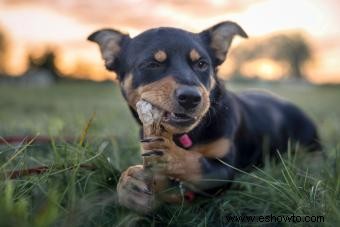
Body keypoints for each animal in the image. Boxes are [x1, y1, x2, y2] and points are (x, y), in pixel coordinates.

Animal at [88, 21, 322, 213]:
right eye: (153, 64)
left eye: (201, 64)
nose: (191, 98)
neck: (188, 135)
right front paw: (130, 186)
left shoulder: (224, 172)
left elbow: (195, 165)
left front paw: (170, 155)